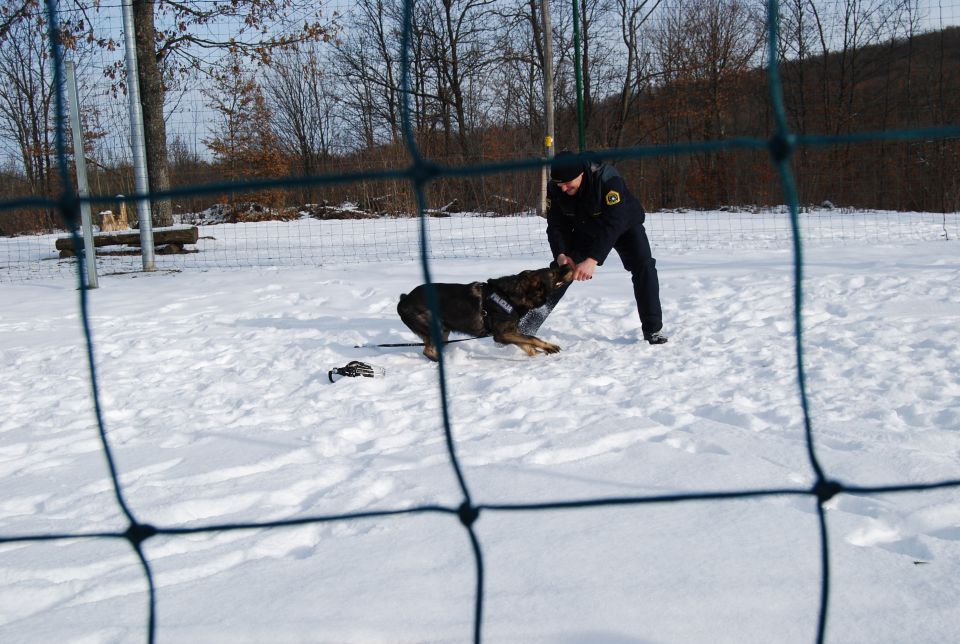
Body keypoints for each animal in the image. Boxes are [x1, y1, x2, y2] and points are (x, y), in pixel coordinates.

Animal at [396, 262, 568, 362]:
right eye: (552, 273)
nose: (567, 266)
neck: (511, 296)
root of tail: (403, 300)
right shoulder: (502, 335)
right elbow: (532, 338)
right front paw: (549, 347)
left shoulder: (510, 332)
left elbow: (528, 345)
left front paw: (539, 354)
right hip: (434, 326)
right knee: (427, 351)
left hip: (443, 330)